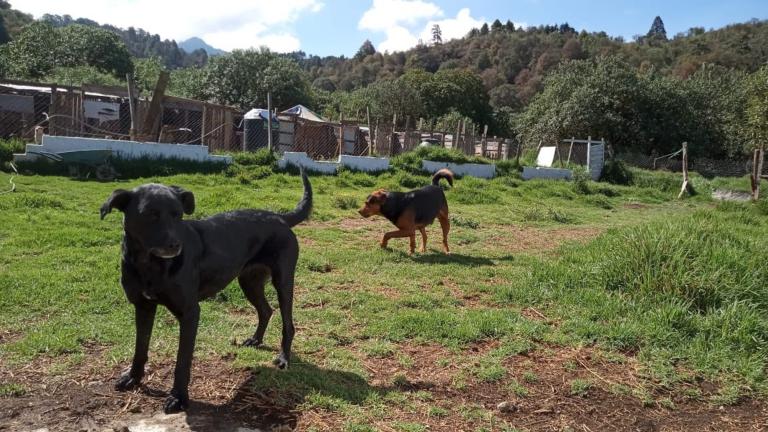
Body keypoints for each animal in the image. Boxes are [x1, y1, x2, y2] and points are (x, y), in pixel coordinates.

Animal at [100, 169, 310, 412]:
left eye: (178, 215)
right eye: (150, 215)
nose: (175, 245)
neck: (149, 264)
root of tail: (280, 217)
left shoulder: (190, 313)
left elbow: (182, 361)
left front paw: (179, 397)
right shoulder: (143, 306)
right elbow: (140, 348)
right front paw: (133, 377)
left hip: (283, 282)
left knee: (288, 324)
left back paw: (283, 358)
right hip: (249, 282)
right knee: (266, 310)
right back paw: (255, 340)